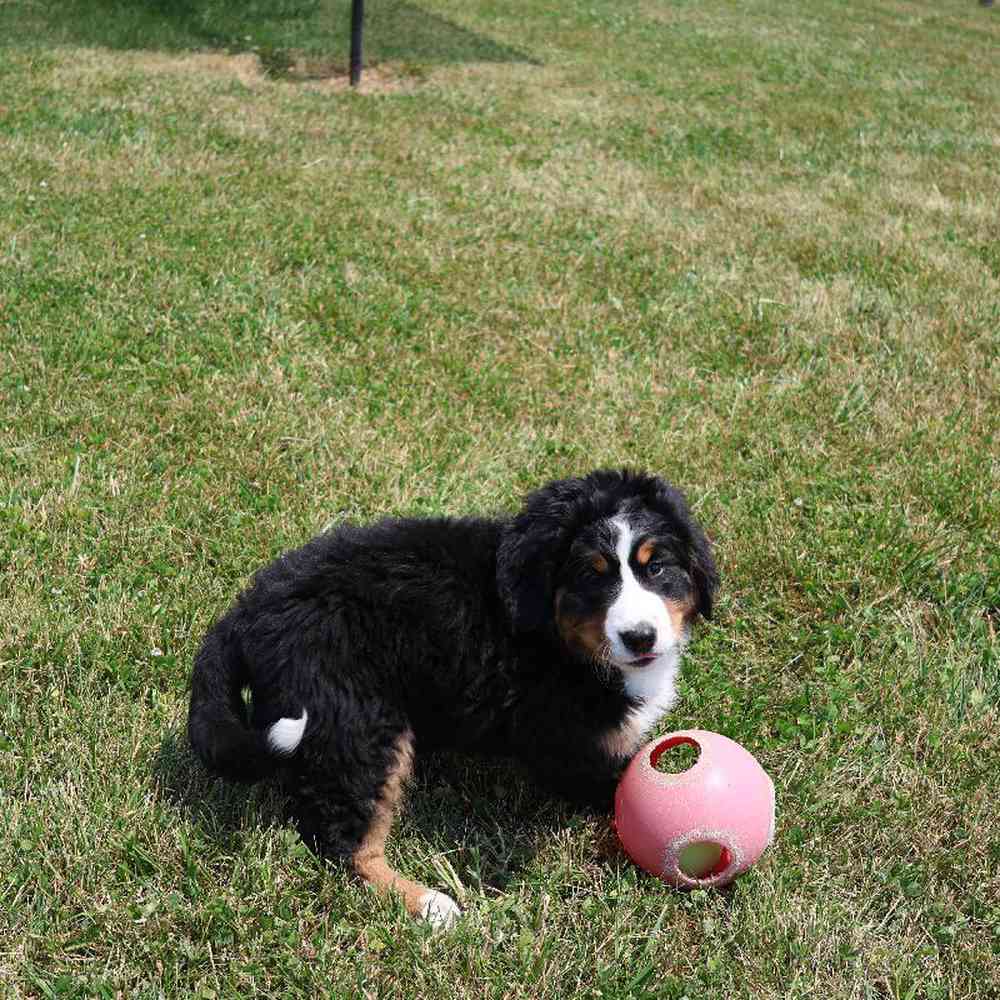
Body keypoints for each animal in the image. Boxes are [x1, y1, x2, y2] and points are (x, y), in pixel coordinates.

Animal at [189, 468, 720, 928]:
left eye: (657, 568)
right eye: (594, 576)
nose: (640, 637)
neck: (555, 637)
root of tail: (247, 611)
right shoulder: (569, 743)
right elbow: (620, 784)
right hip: (360, 721)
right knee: (343, 840)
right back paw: (427, 903)